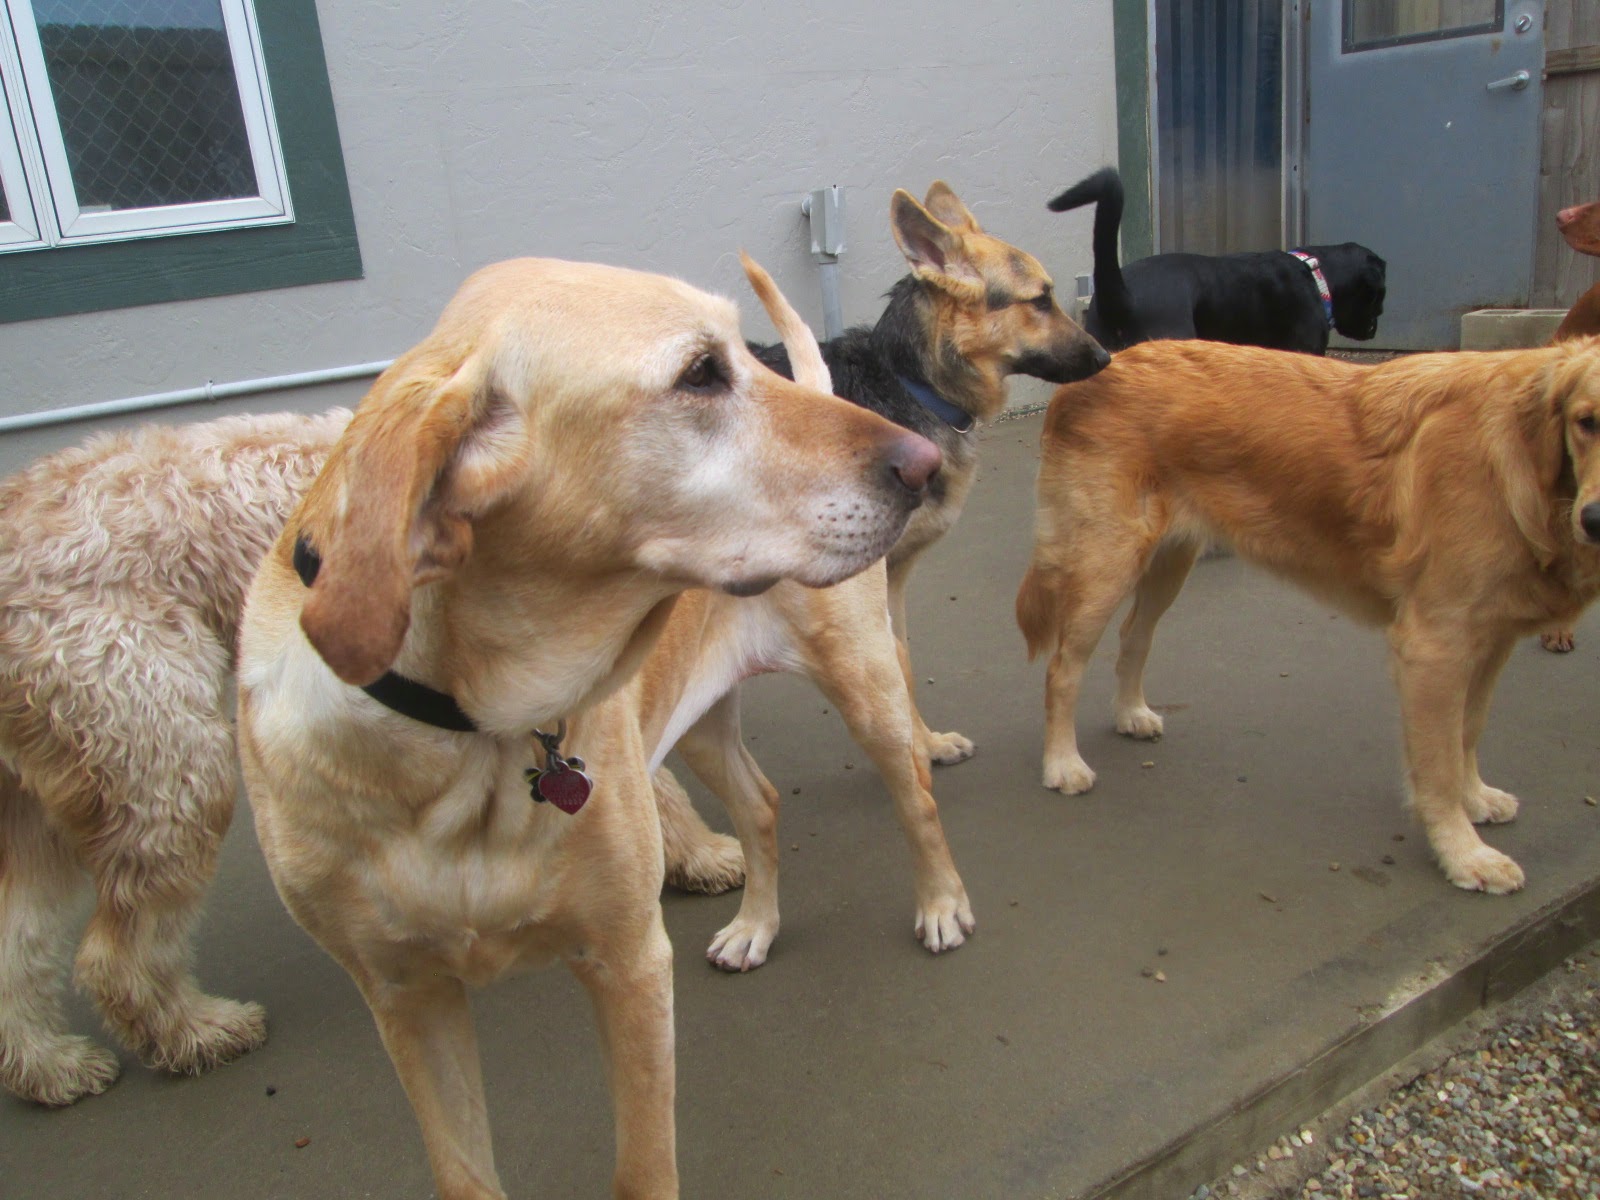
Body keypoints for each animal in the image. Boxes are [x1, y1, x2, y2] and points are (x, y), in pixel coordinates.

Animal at [0, 409, 349, 1106]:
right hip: (167, 760)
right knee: (118, 960)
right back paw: (196, 1032)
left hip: (40, 803)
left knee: (17, 946)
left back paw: (48, 1066)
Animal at [235, 256, 938, 1198]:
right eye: (701, 374)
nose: (926, 462)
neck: (465, 737)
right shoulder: (404, 997)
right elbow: (463, 1173)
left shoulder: (628, 961)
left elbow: (643, 1169)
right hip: (697, 718)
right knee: (759, 804)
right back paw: (757, 924)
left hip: (865, 687)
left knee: (917, 798)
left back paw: (944, 904)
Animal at [645, 184, 1109, 970]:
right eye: (1041, 300)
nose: (1107, 355)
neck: (911, 378)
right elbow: (897, 663)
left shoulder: (887, 585)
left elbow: (904, 660)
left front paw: (925, 743)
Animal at [1016, 337, 1600, 896]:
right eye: (1587, 421)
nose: (1595, 519)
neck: (1521, 456)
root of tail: (1101, 366)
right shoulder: (1435, 646)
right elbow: (1437, 765)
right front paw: (1462, 854)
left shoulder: (1490, 640)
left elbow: (1467, 731)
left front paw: (1474, 797)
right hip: (1106, 565)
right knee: (1063, 669)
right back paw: (1062, 762)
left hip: (1168, 561)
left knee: (1134, 635)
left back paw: (1131, 712)